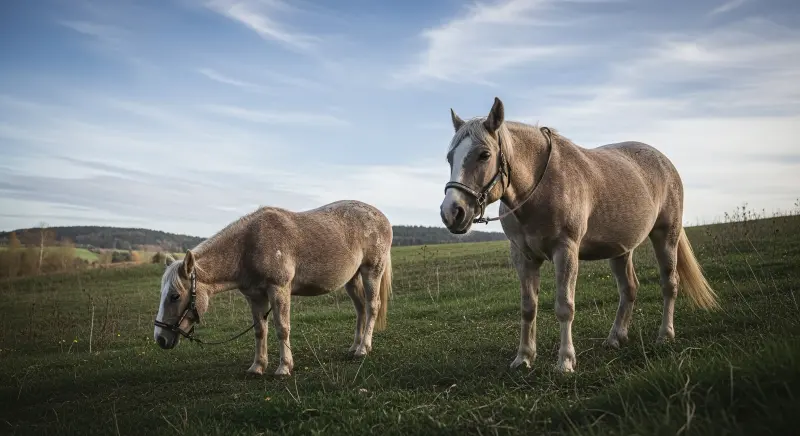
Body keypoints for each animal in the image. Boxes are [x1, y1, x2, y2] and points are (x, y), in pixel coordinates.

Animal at [152, 200, 393, 376]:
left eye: (175, 296)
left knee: (371, 307)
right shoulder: (255, 297)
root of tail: (381, 217)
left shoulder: (279, 290)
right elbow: (260, 330)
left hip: (372, 272)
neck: (248, 246)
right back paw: (355, 347)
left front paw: (284, 367)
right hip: (352, 280)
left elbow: (282, 328)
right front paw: (257, 366)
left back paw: (363, 348)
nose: (160, 339)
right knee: (360, 309)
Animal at [440, 97, 719, 373]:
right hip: (621, 250)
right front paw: (524, 357)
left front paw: (565, 361)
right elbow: (528, 307)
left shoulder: (566, 251)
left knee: (669, 284)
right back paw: (616, 337)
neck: (540, 188)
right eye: (450, 157)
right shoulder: (523, 256)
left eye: (484, 154)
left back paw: (665, 335)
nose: (452, 212)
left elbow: (565, 307)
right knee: (629, 288)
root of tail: (665, 162)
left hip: (666, 236)